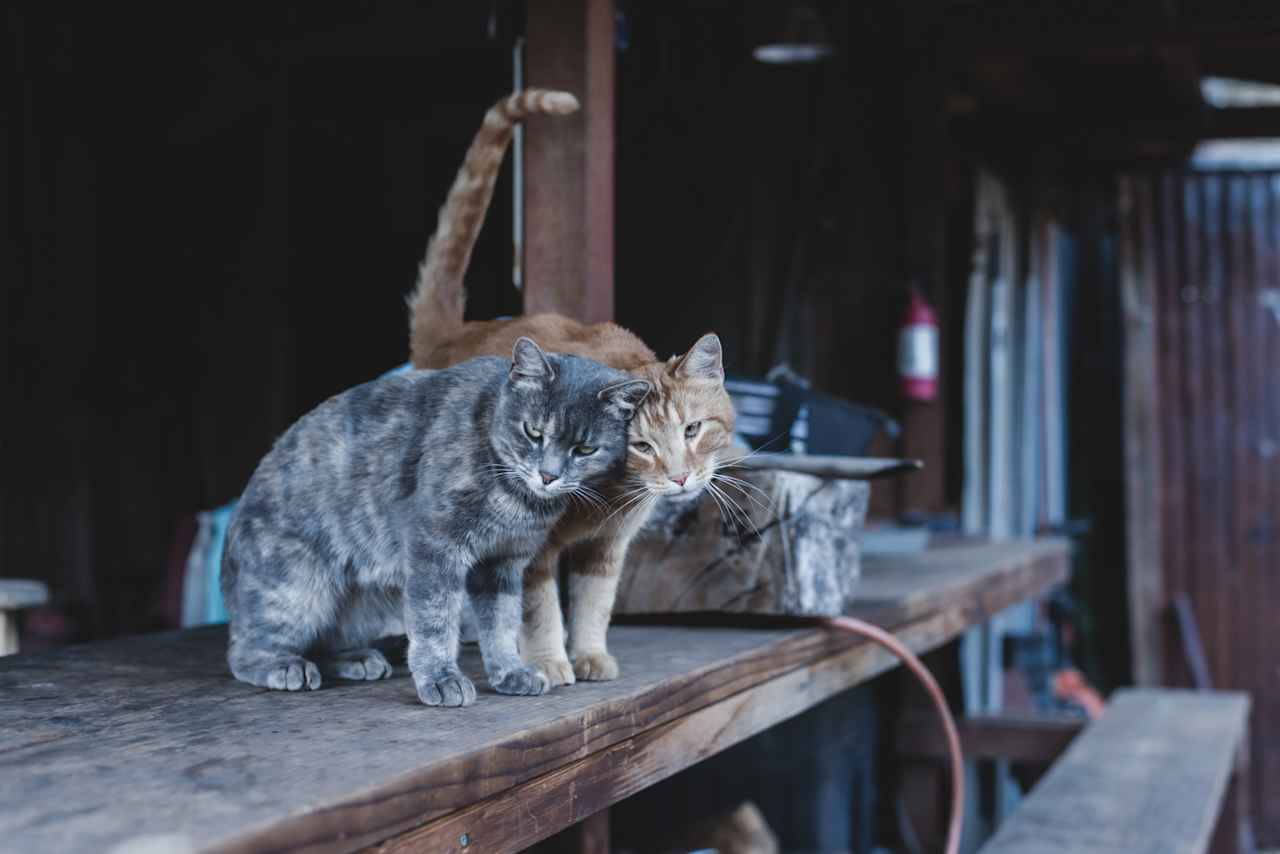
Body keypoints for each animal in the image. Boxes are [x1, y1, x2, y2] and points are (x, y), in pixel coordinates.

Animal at [218, 338, 650, 706]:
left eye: (585, 448)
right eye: (533, 431)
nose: (548, 475)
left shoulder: (502, 564)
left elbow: (502, 623)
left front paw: (510, 672)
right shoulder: (435, 547)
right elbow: (435, 620)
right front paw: (442, 679)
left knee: (327, 640)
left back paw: (357, 658)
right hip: (296, 590)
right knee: (244, 648)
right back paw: (283, 665)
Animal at [404, 90, 737, 686]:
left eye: (694, 429)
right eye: (641, 445)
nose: (679, 479)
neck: (611, 497)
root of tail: (453, 333)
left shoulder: (606, 551)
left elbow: (593, 605)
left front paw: (588, 655)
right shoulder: (531, 551)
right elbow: (539, 609)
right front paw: (549, 662)